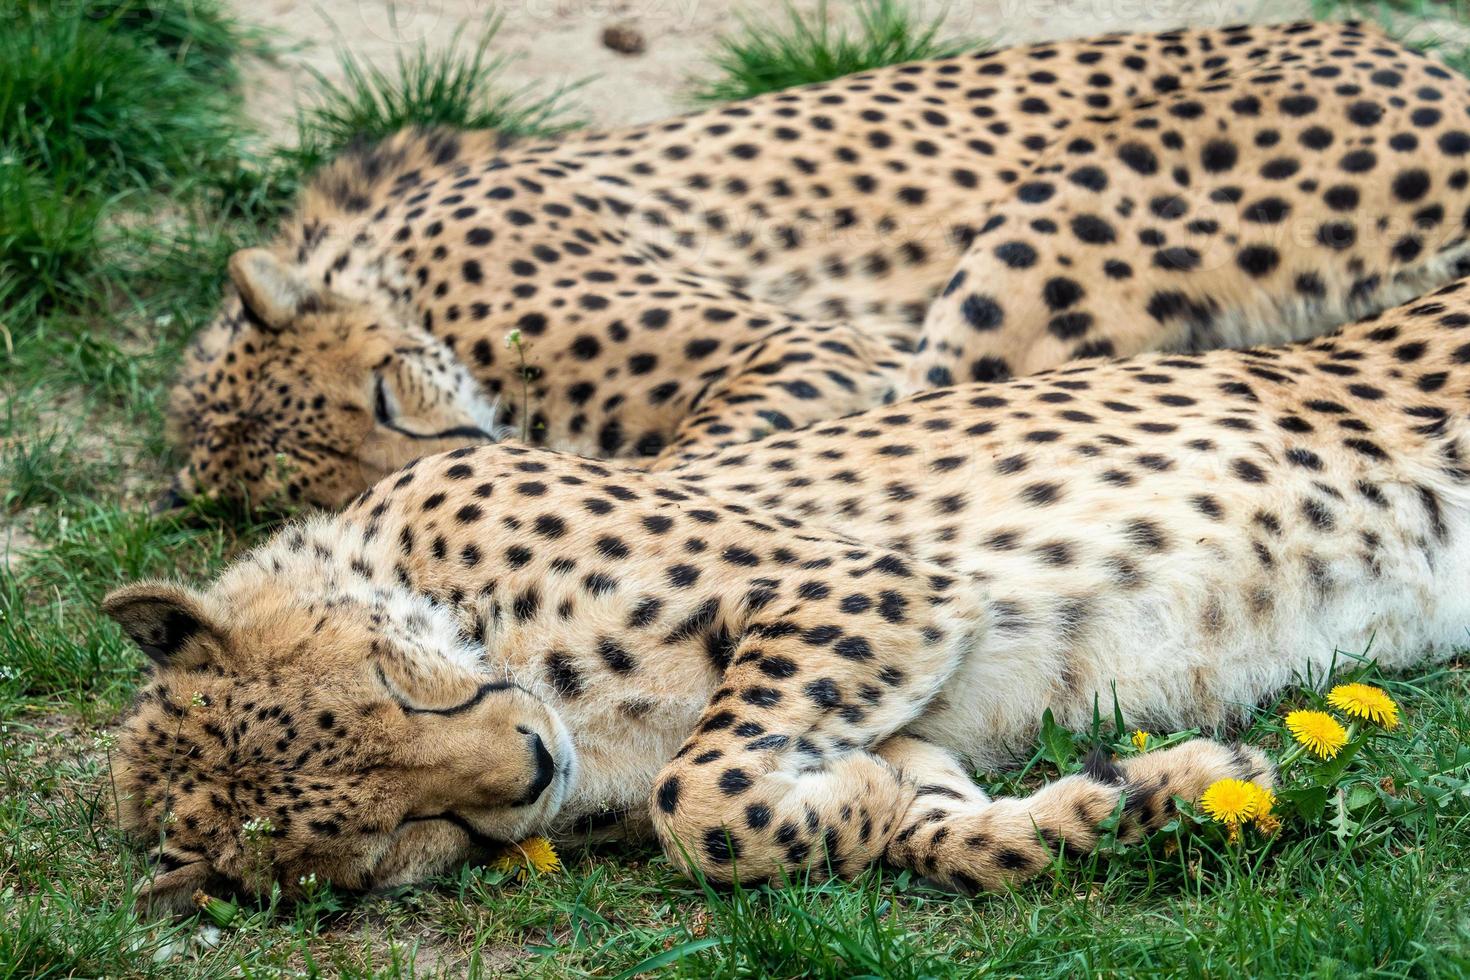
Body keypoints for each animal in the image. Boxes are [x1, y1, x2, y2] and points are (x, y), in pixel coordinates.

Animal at [106, 271, 1470, 910]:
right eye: (398, 834)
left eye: (396, 688)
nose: (532, 766)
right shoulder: (902, 715)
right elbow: (913, 829)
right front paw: (1160, 790)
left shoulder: (867, 576)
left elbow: (692, 791)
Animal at [160, 20, 1470, 511]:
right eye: (318, 491)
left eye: (385, 396)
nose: (453, 461)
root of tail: (1412, 53)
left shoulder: (816, 343)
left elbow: (706, 452)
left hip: (1063, 222)